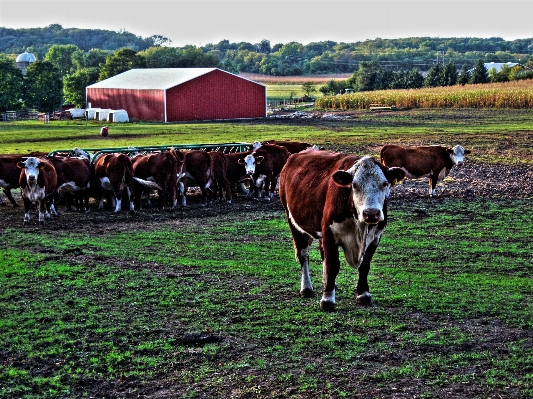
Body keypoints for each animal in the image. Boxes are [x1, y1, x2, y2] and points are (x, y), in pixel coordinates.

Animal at [276, 152, 406, 310]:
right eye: (354, 185)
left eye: (385, 183)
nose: (371, 213)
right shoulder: (329, 234)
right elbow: (332, 266)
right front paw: (327, 300)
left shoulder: (375, 238)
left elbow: (364, 266)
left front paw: (363, 295)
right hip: (293, 221)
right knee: (303, 255)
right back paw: (306, 288)